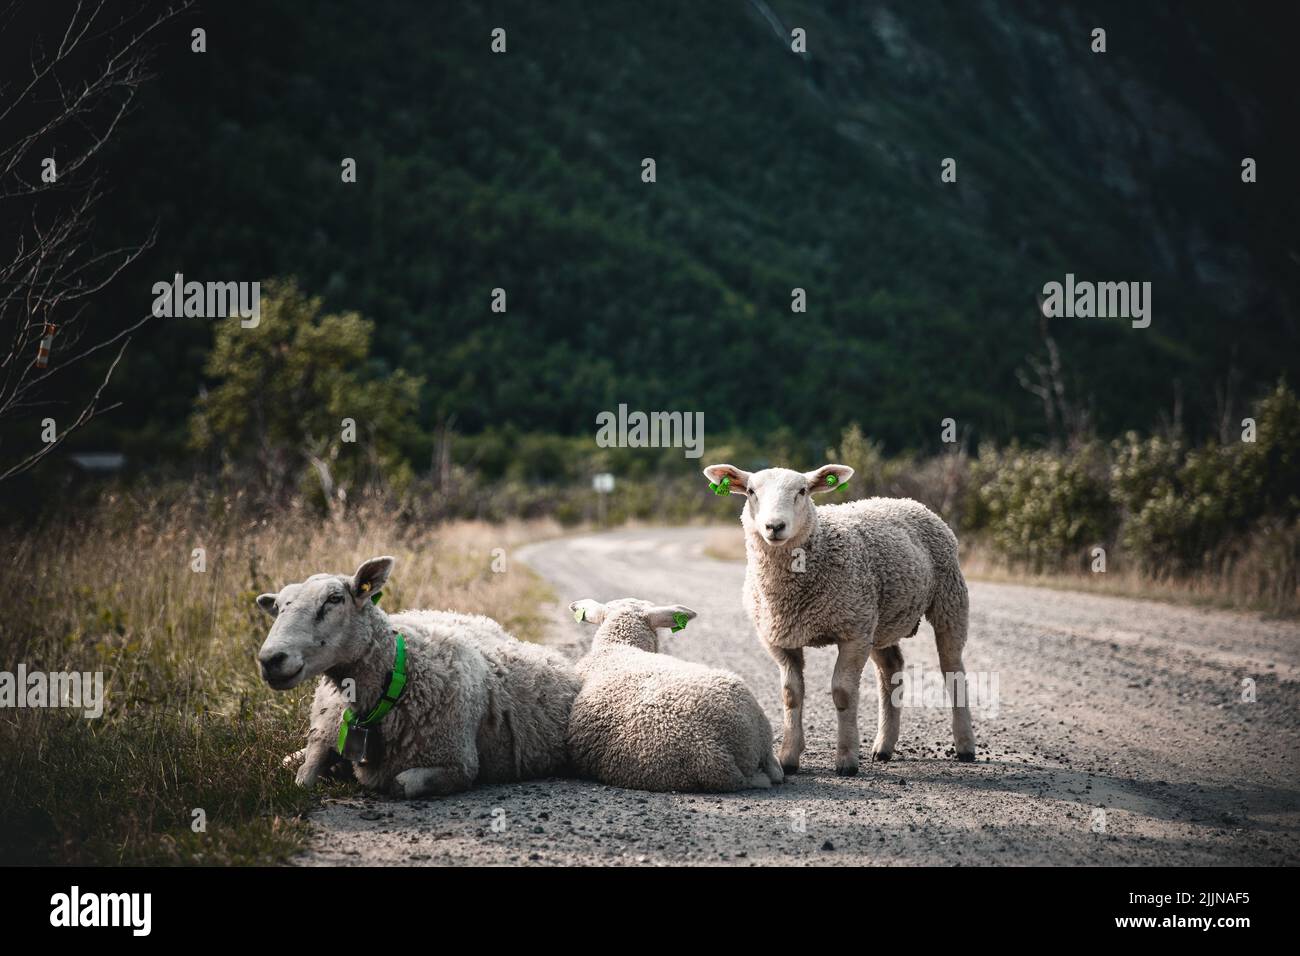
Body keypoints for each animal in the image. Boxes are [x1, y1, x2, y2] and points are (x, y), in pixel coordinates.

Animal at [254, 556, 579, 796]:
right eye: (279, 607)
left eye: (334, 599)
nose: (270, 659)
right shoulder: (324, 734)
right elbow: (302, 777)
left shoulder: (458, 765)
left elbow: (400, 785)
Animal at [702, 463, 977, 780]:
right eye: (750, 491)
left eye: (802, 491)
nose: (774, 526)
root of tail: (907, 501)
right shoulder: (780, 639)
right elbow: (791, 695)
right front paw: (788, 758)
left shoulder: (853, 634)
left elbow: (843, 694)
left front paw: (846, 760)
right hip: (878, 620)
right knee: (890, 670)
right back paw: (884, 746)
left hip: (948, 598)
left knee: (952, 669)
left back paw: (965, 746)